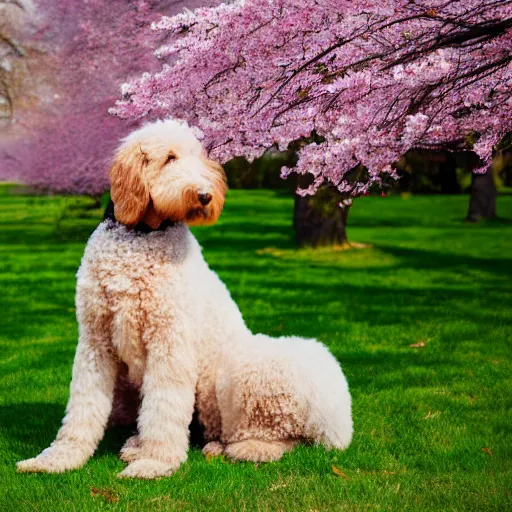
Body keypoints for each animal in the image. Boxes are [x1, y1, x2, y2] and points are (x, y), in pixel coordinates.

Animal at [16, 118, 352, 478]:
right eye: (170, 158)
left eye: (199, 157)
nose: (205, 196)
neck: (142, 236)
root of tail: (336, 419)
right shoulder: (96, 340)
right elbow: (82, 406)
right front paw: (58, 458)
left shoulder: (169, 340)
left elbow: (164, 408)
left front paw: (155, 462)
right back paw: (137, 444)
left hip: (247, 373)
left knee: (278, 437)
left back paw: (241, 449)